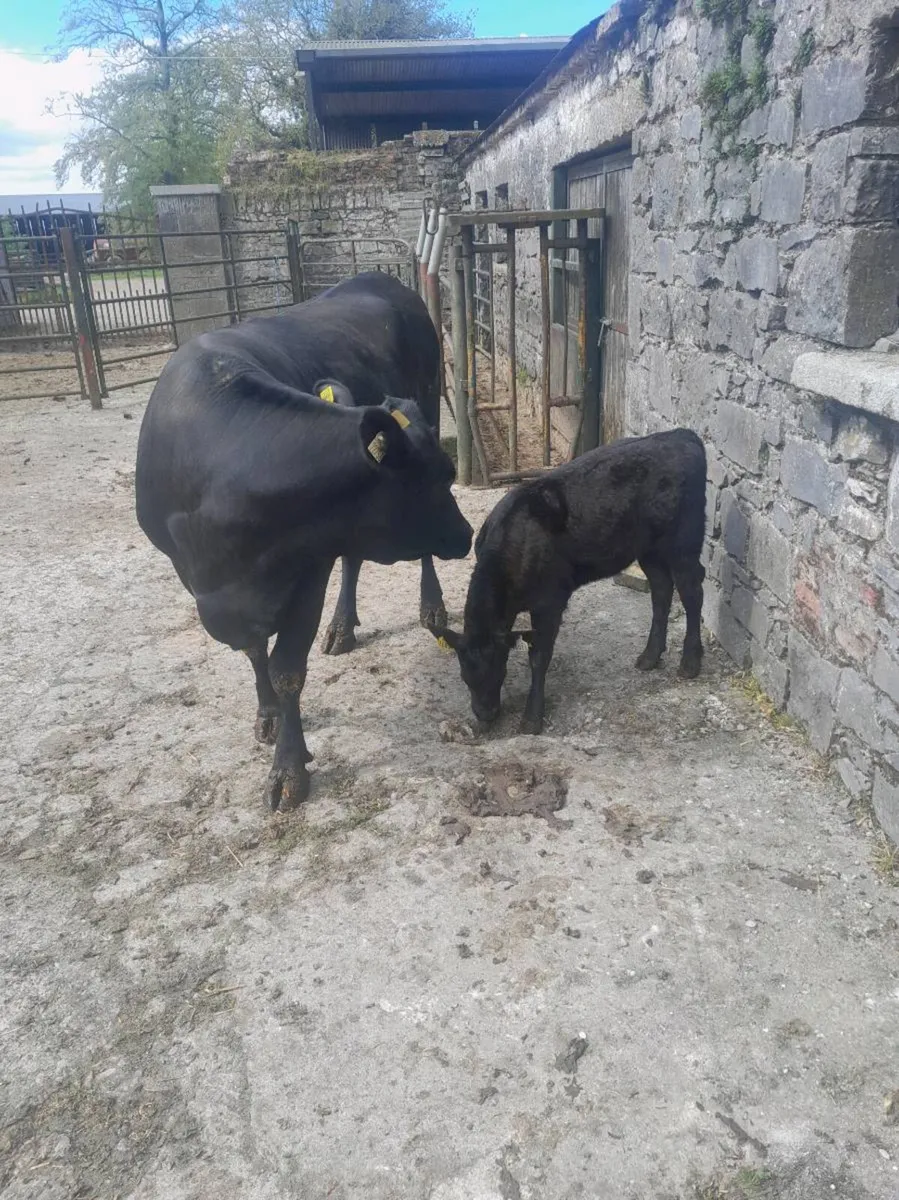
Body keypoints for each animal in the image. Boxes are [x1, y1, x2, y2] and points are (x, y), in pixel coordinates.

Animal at [135, 272, 473, 811]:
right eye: (440, 477)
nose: (467, 534)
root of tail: (380, 278)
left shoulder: (308, 569)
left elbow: (287, 669)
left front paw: (288, 770)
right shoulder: (200, 580)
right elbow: (255, 652)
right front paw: (269, 716)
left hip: (431, 400)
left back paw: (431, 607)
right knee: (354, 558)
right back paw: (343, 627)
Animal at [428, 428, 707, 734]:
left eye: (498, 670)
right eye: (465, 675)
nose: (485, 714)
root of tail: (682, 434)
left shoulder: (550, 602)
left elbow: (539, 657)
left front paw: (532, 717)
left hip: (684, 541)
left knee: (692, 592)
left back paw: (690, 662)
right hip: (648, 549)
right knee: (661, 590)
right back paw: (650, 657)